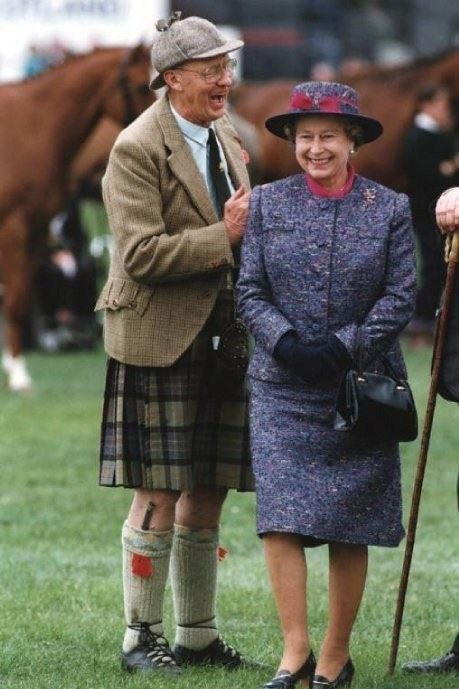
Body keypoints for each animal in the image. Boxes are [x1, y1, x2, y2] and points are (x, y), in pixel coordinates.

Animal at [0, 45, 155, 390]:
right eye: (142, 86)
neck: (32, 127)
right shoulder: (14, 228)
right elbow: (14, 300)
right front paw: (18, 375)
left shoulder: (37, 231)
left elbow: (19, 297)